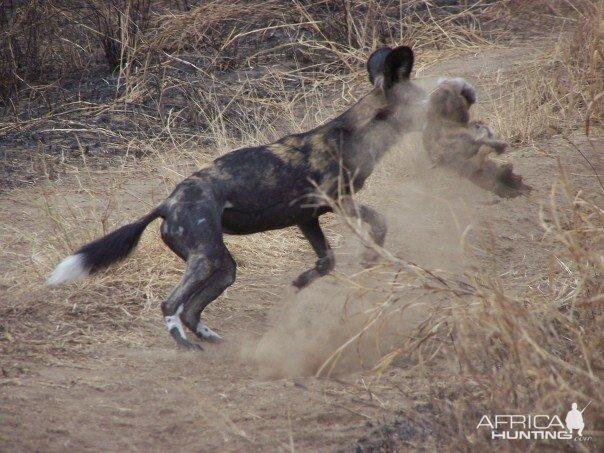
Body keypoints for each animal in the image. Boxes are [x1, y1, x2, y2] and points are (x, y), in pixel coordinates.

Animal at [46, 46, 424, 348]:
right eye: (421, 99)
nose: (439, 105)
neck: (357, 135)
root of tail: (167, 203)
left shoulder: (308, 216)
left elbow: (327, 260)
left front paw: (302, 282)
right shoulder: (338, 203)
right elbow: (378, 224)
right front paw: (370, 258)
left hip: (221, 266)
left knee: (191, 309)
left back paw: (210, 338)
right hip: (206, 258)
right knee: (171, 305)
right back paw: (185, 344)